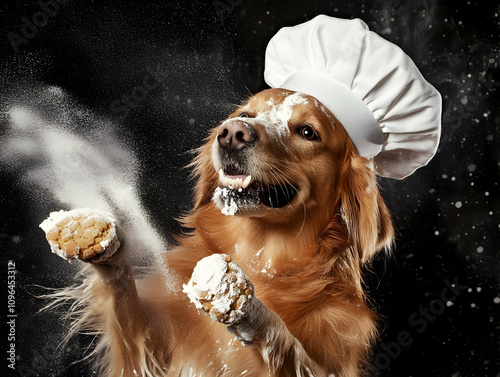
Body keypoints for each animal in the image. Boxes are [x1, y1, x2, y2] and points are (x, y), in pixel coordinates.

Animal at [44, 86, 394, 374]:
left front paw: (246, 308)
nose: (233, 133)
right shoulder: (148, 353)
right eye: (245, 115)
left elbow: (286, 342)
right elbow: (127, 300)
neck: (260, 259)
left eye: (308, 132)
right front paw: (97, 239)